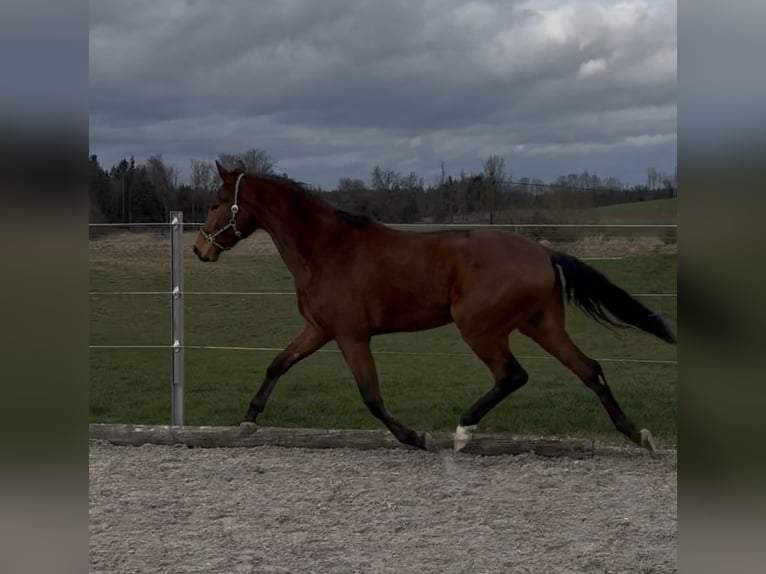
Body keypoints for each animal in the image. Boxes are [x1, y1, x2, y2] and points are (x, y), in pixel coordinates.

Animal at [193, 161, 676, 452]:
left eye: (216, 203)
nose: (200, 250)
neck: (328, 249)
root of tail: (542, 252)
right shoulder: (319, 329)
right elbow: (278, 364)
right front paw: (247, 421)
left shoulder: (351, 335)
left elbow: (371, 396)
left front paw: (415, 437)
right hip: (541, 324)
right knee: (589, 369)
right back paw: (637, 435)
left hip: (479, 327)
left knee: (513, 375)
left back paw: (461, 431)